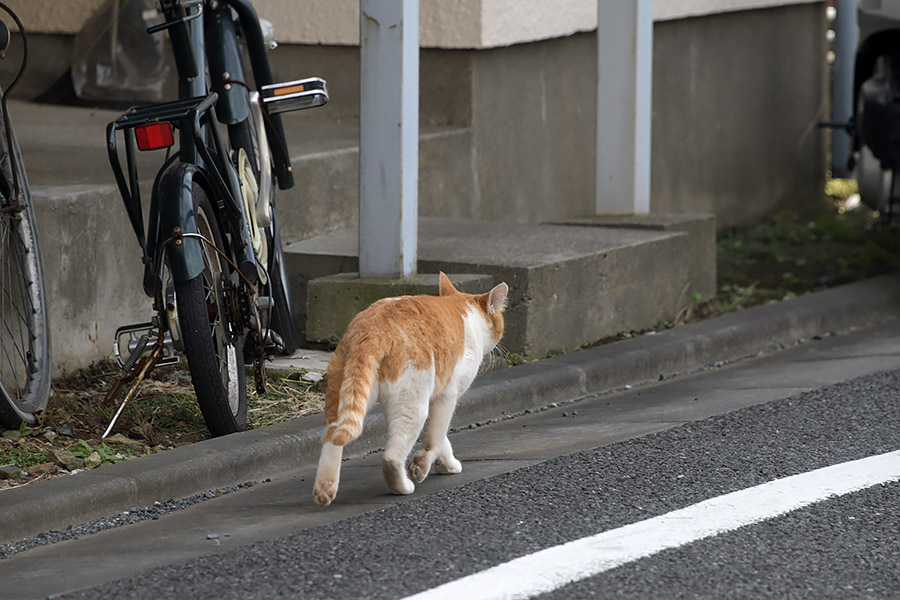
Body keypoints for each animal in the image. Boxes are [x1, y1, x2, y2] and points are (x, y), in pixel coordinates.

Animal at [312, 274, 506, 506]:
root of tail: (371, 328)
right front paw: (422, 465)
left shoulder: (432, 396)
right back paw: (402, 487)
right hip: (412, 405)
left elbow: (439, 437)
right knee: (391, 457)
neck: (465, 311)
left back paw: (325, 488)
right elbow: (436, 436)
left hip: (346, 395)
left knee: (333, 437)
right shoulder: (445, 395)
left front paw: (446, 463)